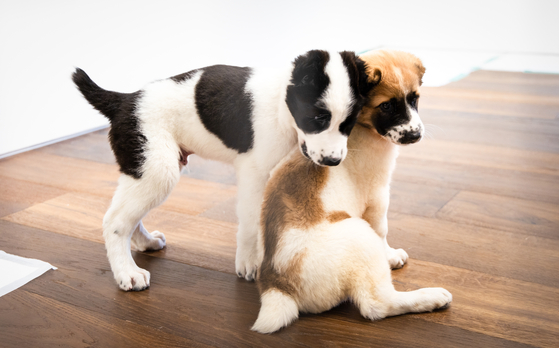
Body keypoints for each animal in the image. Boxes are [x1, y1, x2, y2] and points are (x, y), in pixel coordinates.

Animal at [72, 49, 374, 290]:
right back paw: (127, 272)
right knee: (115, 222)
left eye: (348, 124)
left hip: (145, 171)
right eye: (317, 118)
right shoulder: (254, 173)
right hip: (157, 170)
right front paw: (249, 262)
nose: (333, 161)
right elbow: (251, 222)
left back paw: (144, 242)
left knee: (129, 215)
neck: (282, 105)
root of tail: (123, 101)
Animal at [252, 50, 452, 334]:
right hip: (359, 235)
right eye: (386, 106)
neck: (362, 129)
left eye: (414, 99)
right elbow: (382, 230)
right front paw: (390, 255)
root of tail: (276, 285)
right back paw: (430, 296)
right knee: (377, 305)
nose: (414, 135)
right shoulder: (378, 195)